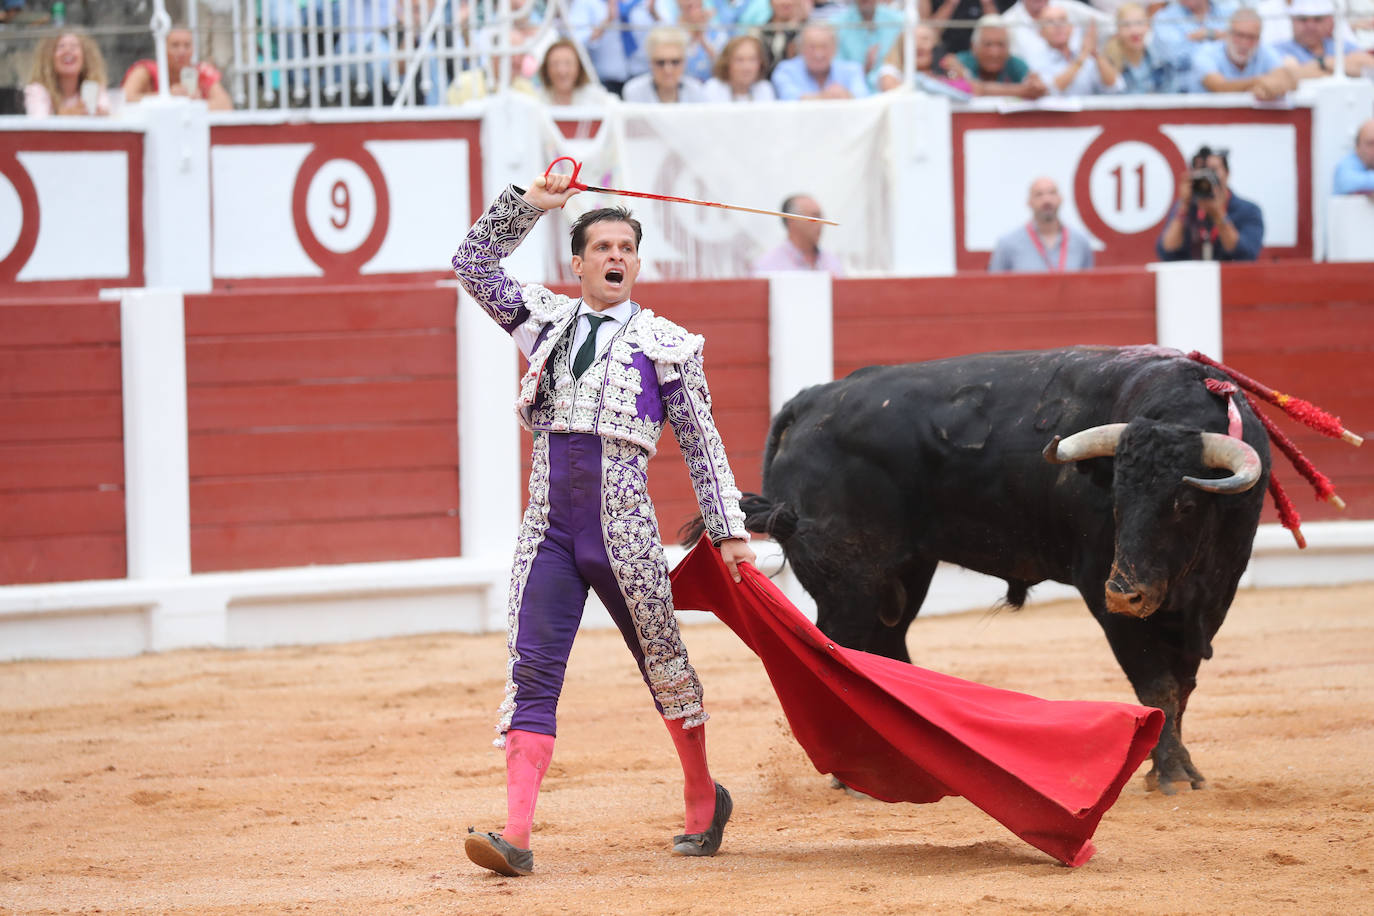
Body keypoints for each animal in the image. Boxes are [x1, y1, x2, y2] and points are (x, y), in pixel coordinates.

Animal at [703, 346, 1269, 796]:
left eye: (1186, 504)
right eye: (1115, 500)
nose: (1126, 592)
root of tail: (809, 402)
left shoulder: (1212, 596)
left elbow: (1182, 686)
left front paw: (1177, 768)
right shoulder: (1100, 587)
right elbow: (1157, 685)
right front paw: (1170, 774)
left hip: (906, 571)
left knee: (886, 648)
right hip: (849, 579)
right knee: (842, 645)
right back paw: (856, 772)